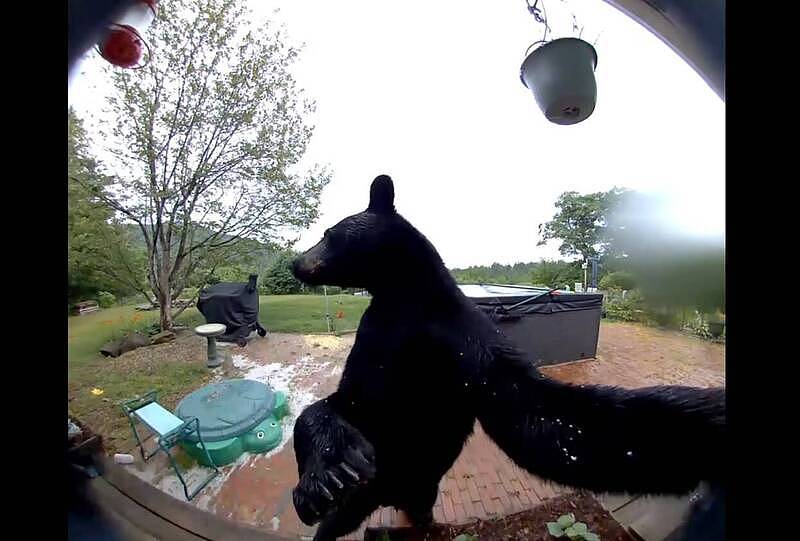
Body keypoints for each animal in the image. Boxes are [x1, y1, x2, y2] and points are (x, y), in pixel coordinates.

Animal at [290, 175, 725, 541]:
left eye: (327, 234)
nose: (295, 262)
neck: (406, 299)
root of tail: (391, 493)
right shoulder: (379, 343)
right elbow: (336, 405)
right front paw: (330, 471)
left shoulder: (469, 347)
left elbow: (548, 419)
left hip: (409, 478)